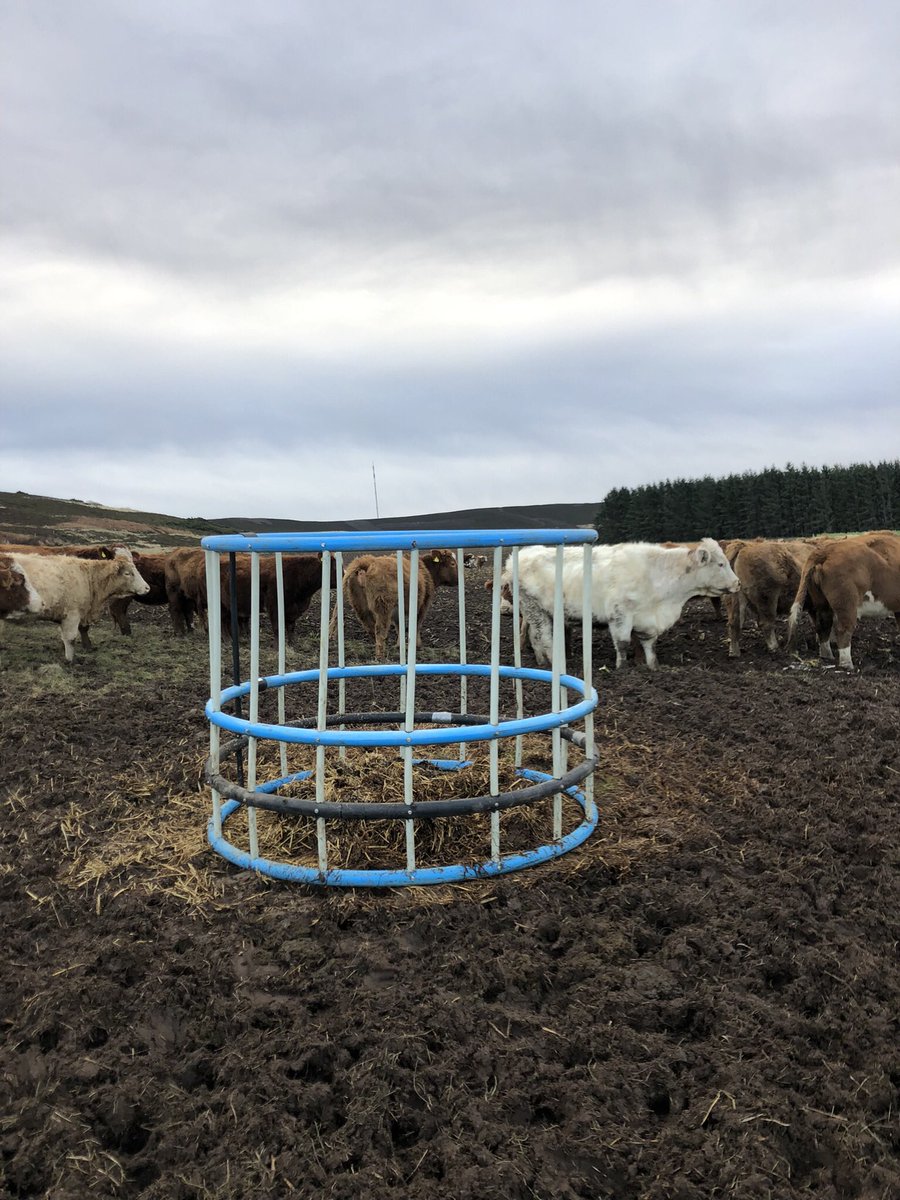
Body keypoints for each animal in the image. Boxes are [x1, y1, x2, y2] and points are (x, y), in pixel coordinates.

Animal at [10, 552, 150, 661]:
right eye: (127, 573)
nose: (147, 588)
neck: (88, 577)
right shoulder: (72, 615)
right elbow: (70, 638)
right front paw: (70, 660)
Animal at [507, 538, 739, 669]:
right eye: (721, 564)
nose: (737, 583)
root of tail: (520, 556)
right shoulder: (620, 615)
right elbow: (623, 643)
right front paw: (622, 668)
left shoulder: (647, 619)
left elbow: (649, 644)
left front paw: (654, 667)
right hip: (535, 609)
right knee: (545, 638)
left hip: (536, 612)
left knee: (534, 636)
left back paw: (541, 662)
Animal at [786, 532, 900, 669]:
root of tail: (825, 550)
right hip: (846, 603)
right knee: (843, 629)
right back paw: (847, 664)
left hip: (822, 603)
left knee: (823, 625)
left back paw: (827, 655)